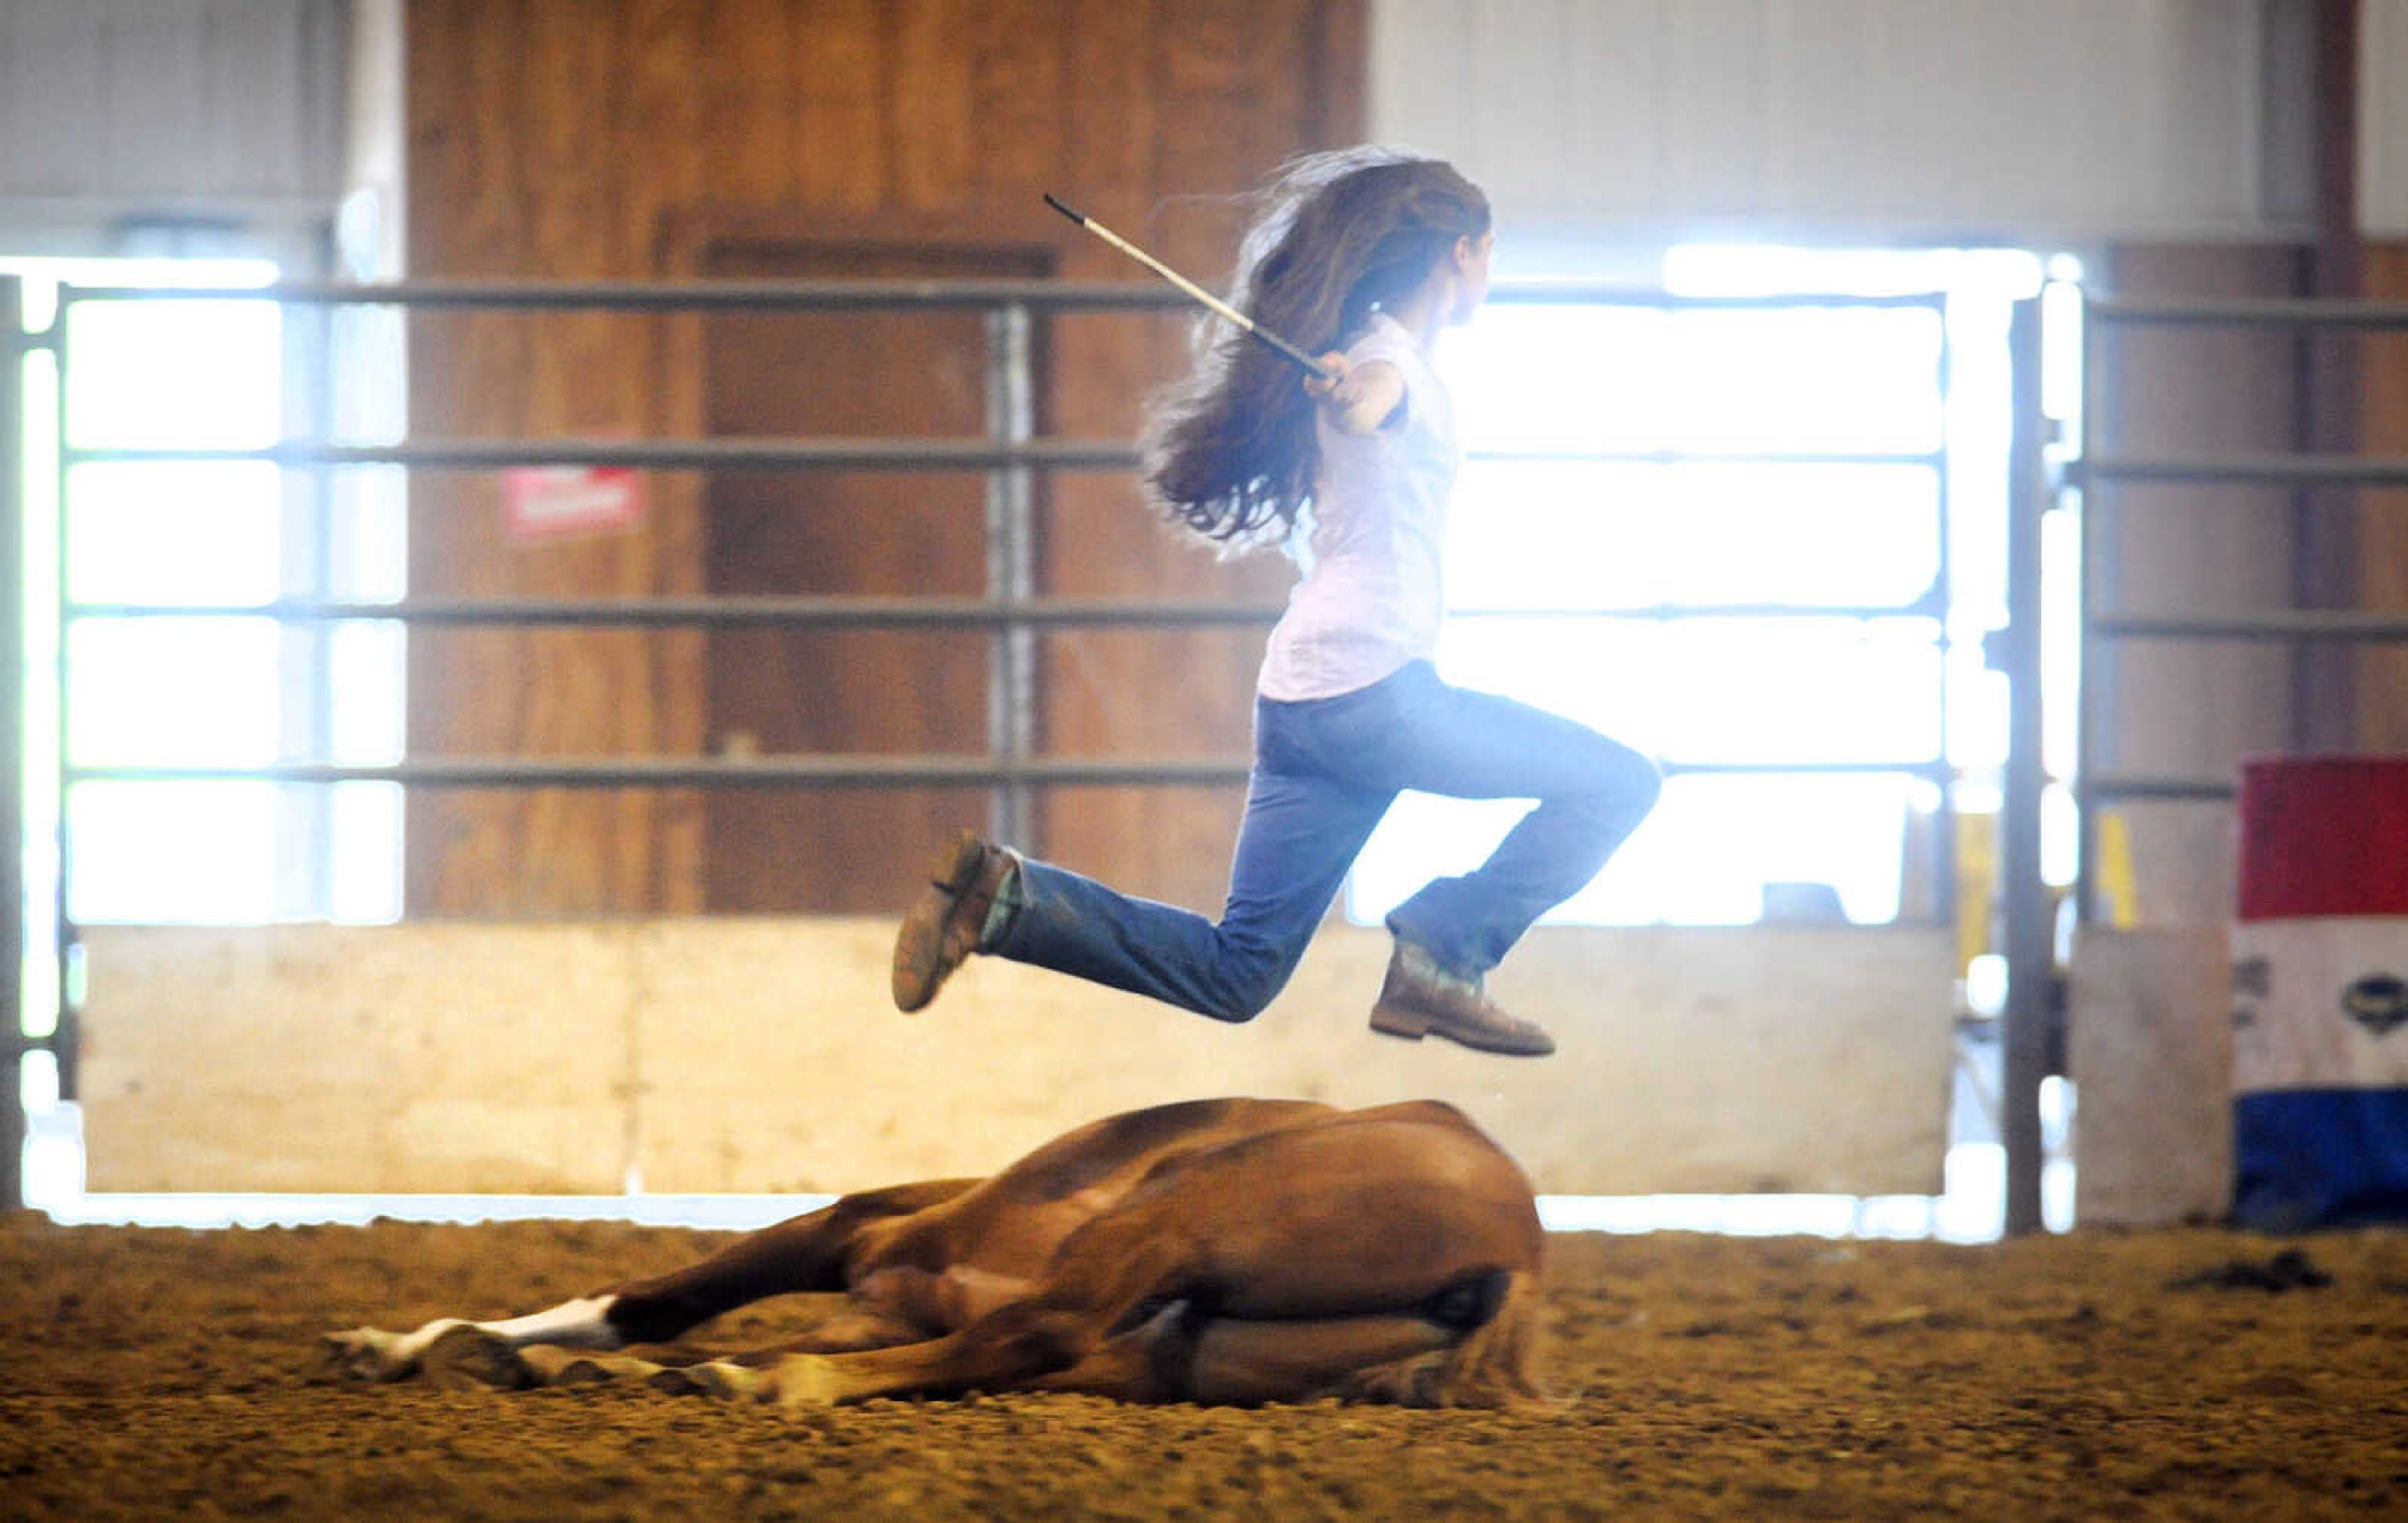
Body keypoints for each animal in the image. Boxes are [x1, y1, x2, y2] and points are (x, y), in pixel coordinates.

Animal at [325, 1092, 1541, 1404]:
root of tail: (1517, 1244)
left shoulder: (852, 1229)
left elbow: (653, 1300)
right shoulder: (868, 1294)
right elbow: (645, 1310)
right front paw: (428, 1342)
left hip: (1175, 1216)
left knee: (1036, 1328)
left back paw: (758, 1380)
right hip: (1178, 1345)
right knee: (1011, 1345)